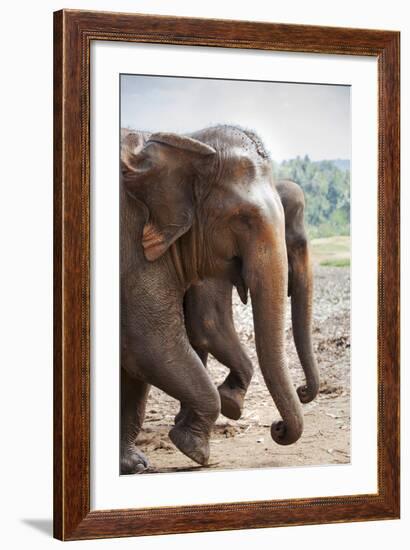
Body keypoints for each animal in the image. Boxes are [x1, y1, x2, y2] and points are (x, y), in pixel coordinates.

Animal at [120, 125, 306, 474]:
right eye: (244, 219)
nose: (277, 428)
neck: (187, 142)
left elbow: (138, 358)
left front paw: (134, 465)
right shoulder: (134, 248)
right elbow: (153, 340)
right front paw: (196, 450)